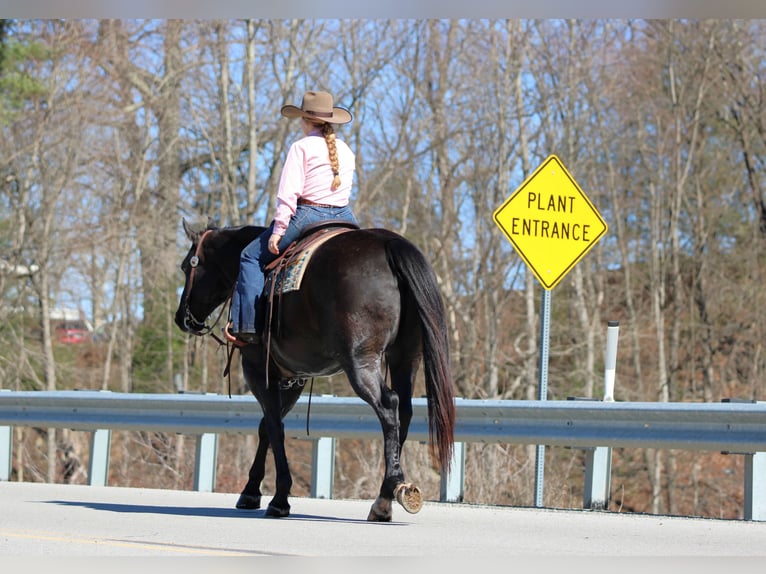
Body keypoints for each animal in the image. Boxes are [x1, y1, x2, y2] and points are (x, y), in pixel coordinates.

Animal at [174, 219, 456, 521]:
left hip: (361, 361)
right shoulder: (294, 377)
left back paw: (389, 492)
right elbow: (266, 427)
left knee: (388, 405)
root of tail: (389, 244)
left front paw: (279, 497)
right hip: (405, 357)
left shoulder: (257, 370)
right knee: (404, 410)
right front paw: (251, 491)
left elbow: (274, 426)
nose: (181, 318)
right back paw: (385, 498)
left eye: (186, 266)